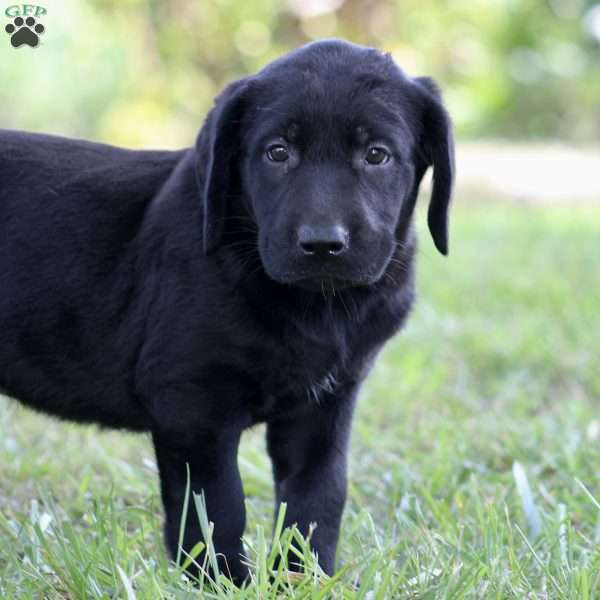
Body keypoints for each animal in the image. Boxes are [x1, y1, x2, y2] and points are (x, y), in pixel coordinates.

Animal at [0, 39, 452, 584]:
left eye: (377, 155)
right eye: (277, 152)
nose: (323, 244)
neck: (314, 305)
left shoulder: (326, 405)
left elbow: (318, 495)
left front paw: (303, 578)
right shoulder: (193, 405)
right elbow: (217, 504)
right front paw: (222, 580)